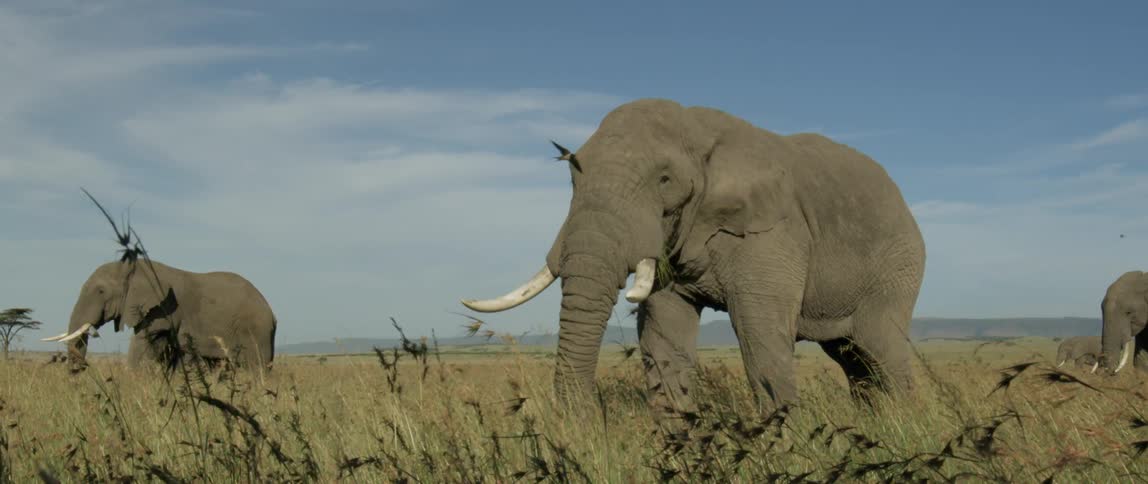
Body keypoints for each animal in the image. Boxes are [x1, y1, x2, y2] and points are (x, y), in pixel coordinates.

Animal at [42, 258, 277, 370]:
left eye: (100, 291)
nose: (84, 367)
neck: (134, 265)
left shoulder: (162, 309)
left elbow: (142, 343)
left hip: (256, 331)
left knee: (256, 368)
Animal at [461, 98, 926, 415]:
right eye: (573, 175)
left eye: (665, 181)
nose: (589, 417)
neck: (695, 129)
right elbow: (664, 334)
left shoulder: (772, 231)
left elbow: (760, 336)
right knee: (852, 358)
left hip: (898, 263)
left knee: (882, 348)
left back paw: (902, 424)